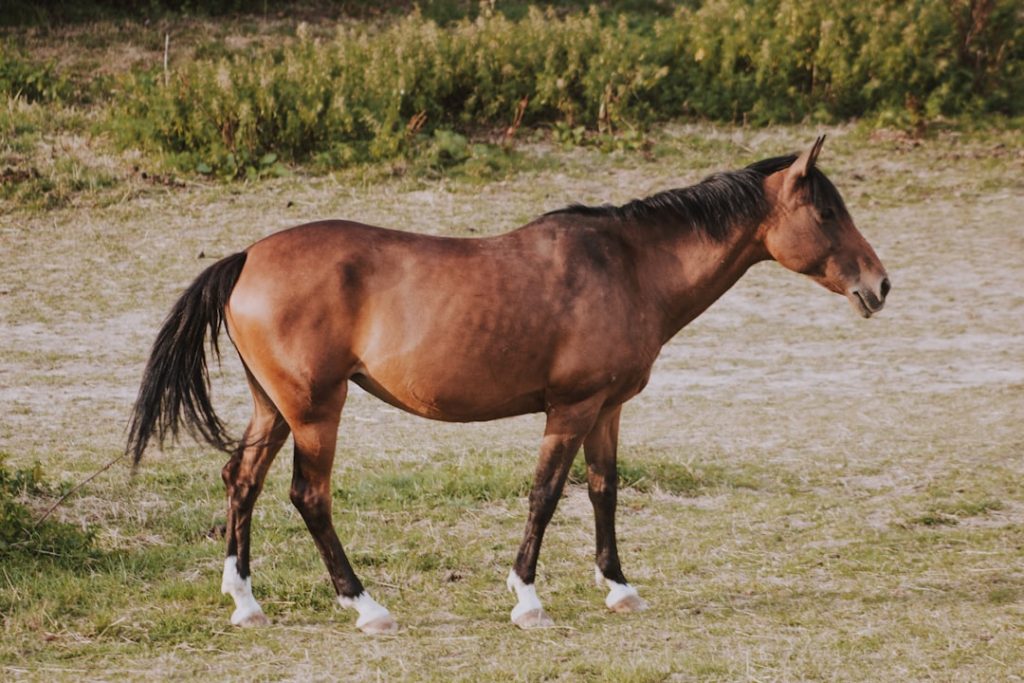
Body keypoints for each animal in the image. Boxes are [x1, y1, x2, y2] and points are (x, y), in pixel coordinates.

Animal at [127, 137, 889, 634]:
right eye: (826, 213)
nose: (879, 286)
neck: (628, 265)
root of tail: (249, 256)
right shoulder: (571, 408)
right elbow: (546, 495)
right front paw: (527, 599)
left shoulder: (606, 409)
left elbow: (604, 490)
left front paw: (619, 586)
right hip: (316, 410)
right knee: (307, 496)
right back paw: (366, 606)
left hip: (275, 407)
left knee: (242, 481)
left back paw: (246, 602)